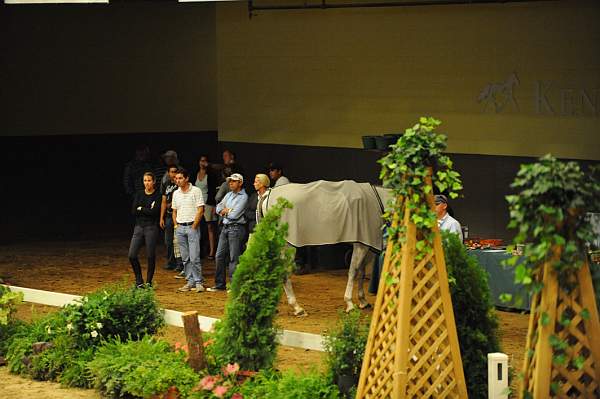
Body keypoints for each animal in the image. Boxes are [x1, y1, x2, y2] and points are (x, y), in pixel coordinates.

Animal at [258, 180, 394, 314]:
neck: (376, 200)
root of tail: (269, 193)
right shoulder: (361, 245)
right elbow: (353, 272)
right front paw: (350, 304)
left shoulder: (366, 245)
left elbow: (361, 271)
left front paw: (363, 301)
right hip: (288, 246)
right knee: (284, 274)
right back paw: (297, 308)